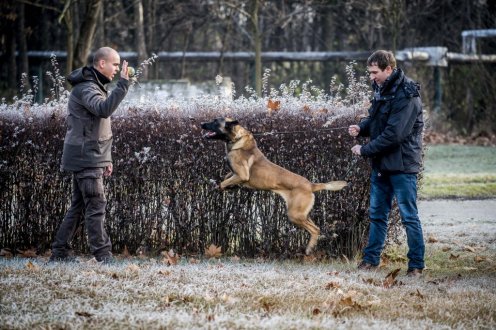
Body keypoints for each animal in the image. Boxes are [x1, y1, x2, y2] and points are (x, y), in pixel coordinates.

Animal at [200, 117, 346, 254]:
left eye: (215, 121)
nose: (201, 124)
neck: (236, 139)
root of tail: (311, 185)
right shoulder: (234, 173)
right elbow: (227, 177)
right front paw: (230, 187)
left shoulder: (242, 174)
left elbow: (224, 182)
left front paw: (220, 187)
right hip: (302, 214)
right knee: (316, 227)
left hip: (294, 214)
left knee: (315, 229)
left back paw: (309, 249)